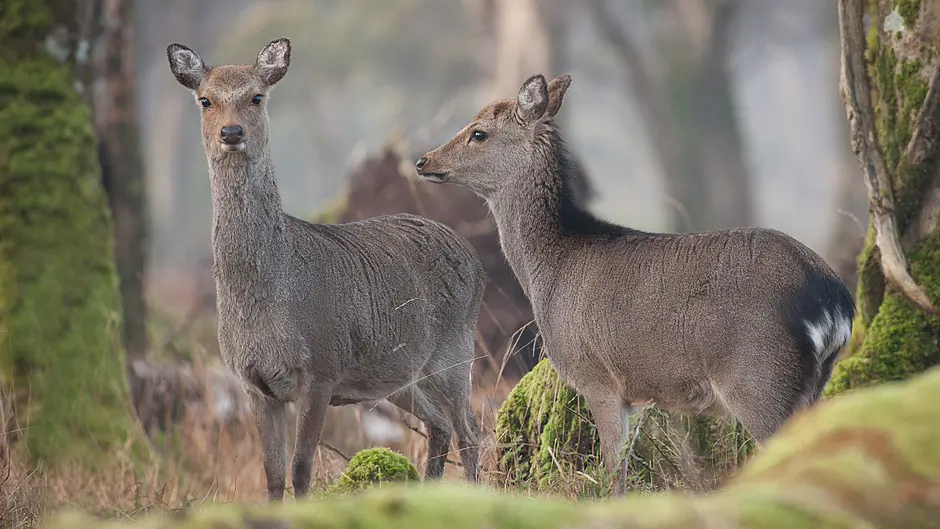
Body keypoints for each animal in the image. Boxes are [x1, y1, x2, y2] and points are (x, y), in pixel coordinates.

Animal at [166, 38, 484, 501]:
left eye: (257, 96)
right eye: (205, 100)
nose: (231, 133)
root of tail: (475, 258)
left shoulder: (320, 370)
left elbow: (301, 468)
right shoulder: (253, 383)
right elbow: (272, 474)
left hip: (455, 351)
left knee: (470, 428)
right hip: (398, 375)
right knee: (439, 424)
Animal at [415, 73, 855, 495]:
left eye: (478, 133)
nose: (423, 160)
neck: (549, 271)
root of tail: (833, 301)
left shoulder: (595, 376)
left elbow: (614, 470)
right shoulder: (638, 391)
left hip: (759, 377)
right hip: (815, 382)